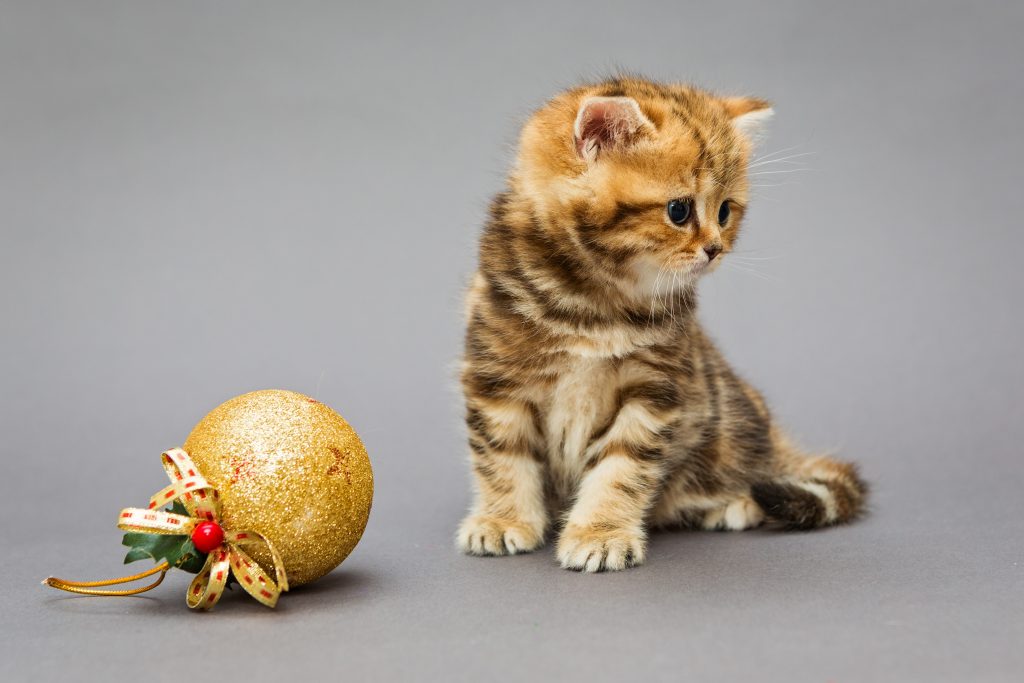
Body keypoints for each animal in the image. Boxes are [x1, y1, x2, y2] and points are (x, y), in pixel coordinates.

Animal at [456, 78, 864, 573]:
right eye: (679, 211)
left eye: (725, 212)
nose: (715, 248)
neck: (593, 302)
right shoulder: (496, 377)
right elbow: (501, 457)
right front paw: (503, 520)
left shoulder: (655, 389)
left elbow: (622, 468)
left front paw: (601, 532)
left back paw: (735, 504)